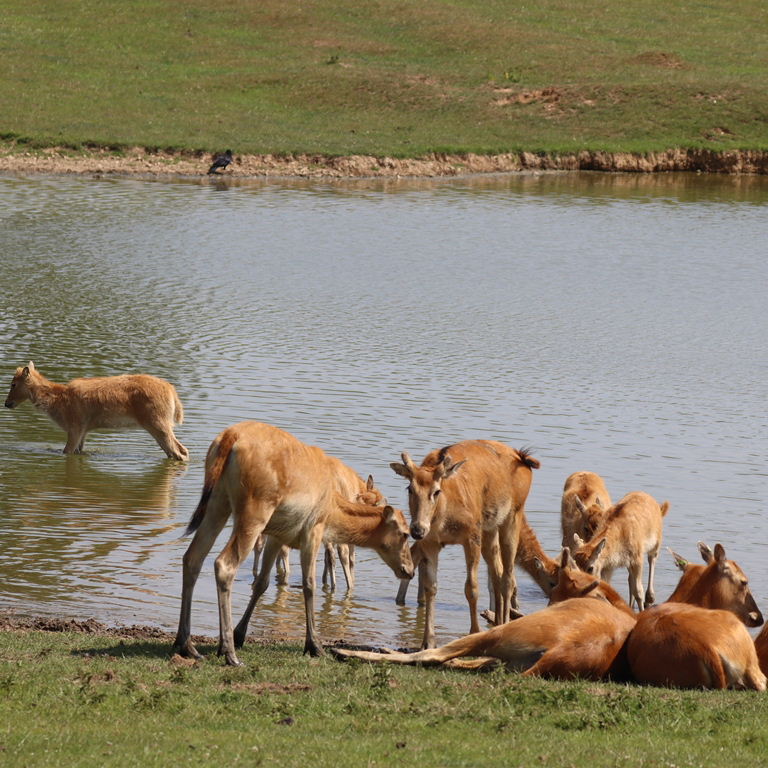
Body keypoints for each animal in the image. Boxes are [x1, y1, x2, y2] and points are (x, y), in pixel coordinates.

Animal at [4, 361, 188, 460]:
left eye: (13, 384)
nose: (7, 403)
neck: (57, 401)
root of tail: (172, 391)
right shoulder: (84, 430)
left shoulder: (75, 427)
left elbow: (66, 451)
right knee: (180, 451)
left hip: (158, 423)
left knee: (179, 452)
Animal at [173, 421, 414, 666]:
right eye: (405, 534)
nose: (409, 570)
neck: (334, 509)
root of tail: (230, 436)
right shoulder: (313, 531)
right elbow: (309, 584)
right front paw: (314, 645)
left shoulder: (278, 536)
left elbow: (262, 583)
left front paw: (240, 634)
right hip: (254, 513)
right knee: (224, 564)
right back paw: (229, 653)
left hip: (217, 502)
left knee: (192, 558)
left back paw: (186, 645)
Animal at [390, 441, 540, 648]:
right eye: (409, 488)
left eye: (436, 491)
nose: (418, 529)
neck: (443, 518)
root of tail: (524, 459)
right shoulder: (431, 543)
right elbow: (430, 588)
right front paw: (427, 641)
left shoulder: (471, 536)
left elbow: (471, 588)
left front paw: (474, 631)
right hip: (490, 529)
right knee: (497, 573)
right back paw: (496, 622)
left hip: (512, 517)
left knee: (508, 577)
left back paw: (504, 623)